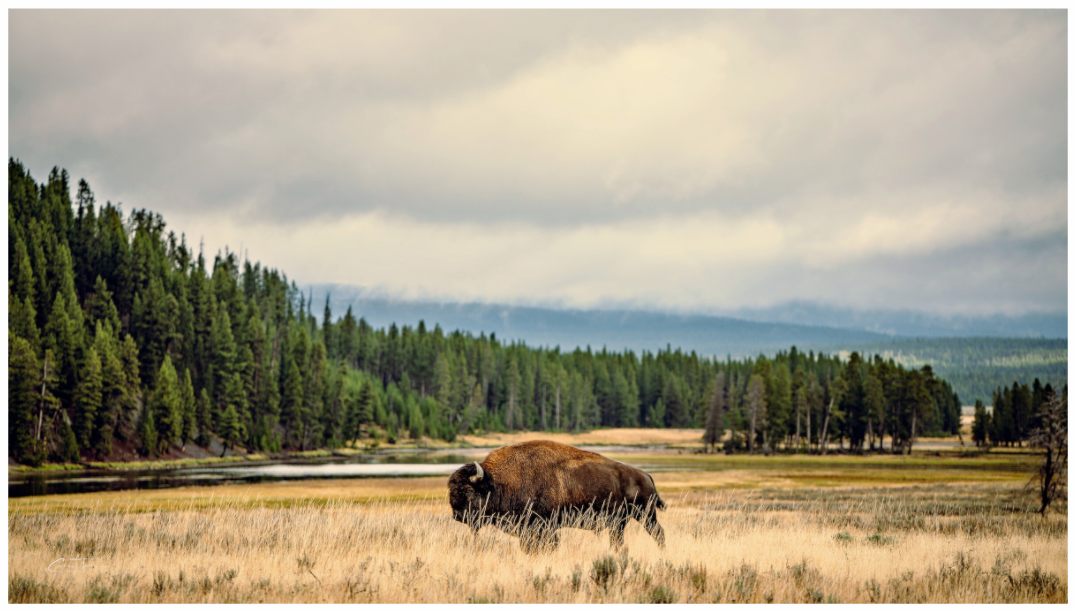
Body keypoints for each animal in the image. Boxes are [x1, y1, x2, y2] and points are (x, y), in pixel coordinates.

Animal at [448, 440, 666, 553]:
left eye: (468, 490)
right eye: (451, 491)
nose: (457, 515)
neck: (498, 482)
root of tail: (645, 475)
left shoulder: (545, 525)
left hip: (646, 515)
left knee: (658, 533)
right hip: (621, 522)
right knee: (619, 540)